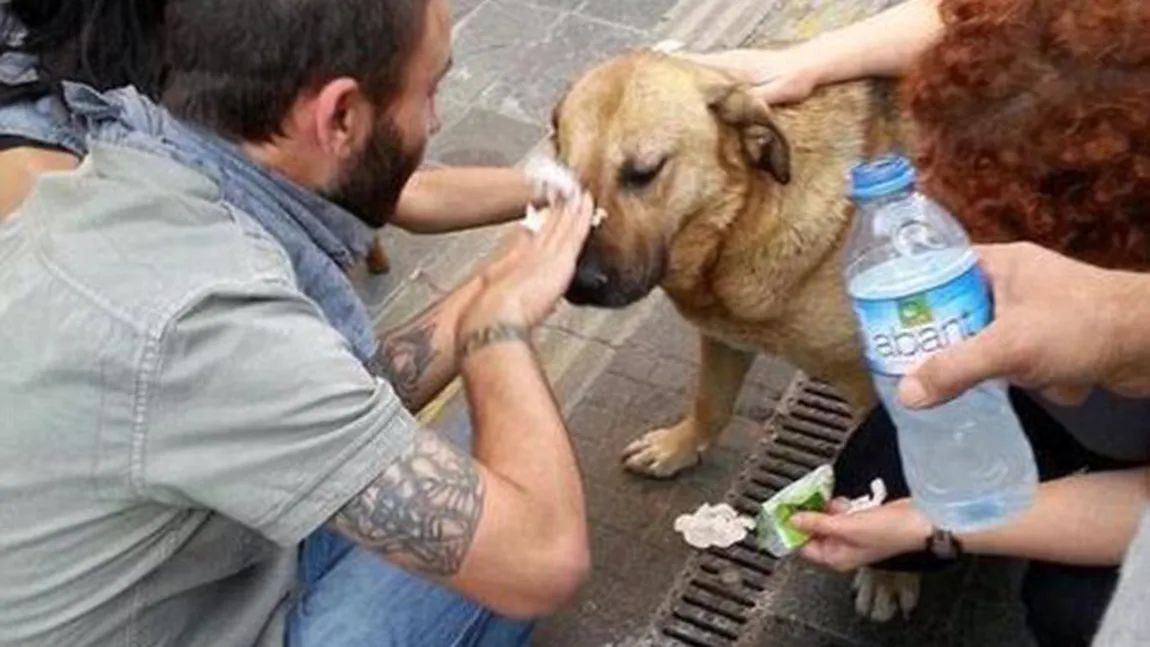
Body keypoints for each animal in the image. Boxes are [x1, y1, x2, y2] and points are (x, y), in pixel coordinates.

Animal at [549, 50, 924, 620]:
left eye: (644, 173)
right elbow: (711, 402)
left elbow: (899, 477)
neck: (749, 212)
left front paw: (888, 570)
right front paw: (679, 446)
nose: (580, 284)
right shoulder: (724, 334)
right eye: (564, 179)